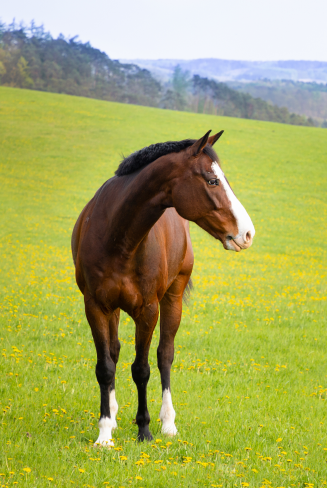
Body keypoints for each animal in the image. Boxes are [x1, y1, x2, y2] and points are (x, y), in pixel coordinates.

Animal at [72, 130, 256, 446]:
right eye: (212, 181)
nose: (248, 233)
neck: (117, 238)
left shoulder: (148, 310)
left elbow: (142, 369)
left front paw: (144, 429)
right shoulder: (95, 306)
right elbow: (105, 366)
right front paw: (105, 432)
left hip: (173, 298)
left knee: (165, 355)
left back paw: (168, 422)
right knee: (116, 352)